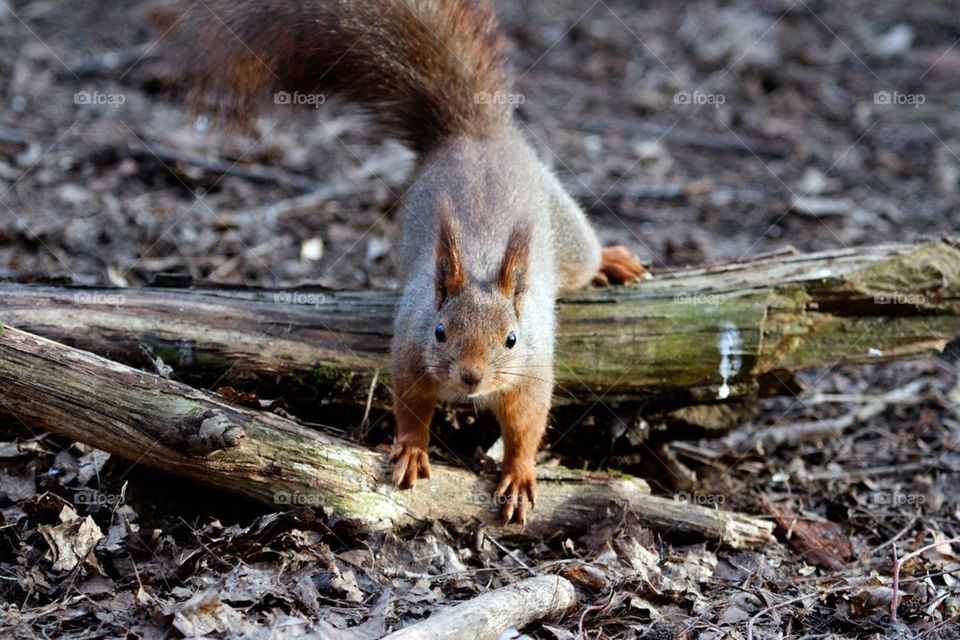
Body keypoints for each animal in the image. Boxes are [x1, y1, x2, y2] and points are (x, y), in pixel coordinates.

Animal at [173, 0, 647, 525]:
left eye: (511, 339)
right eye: (439, 332)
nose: (470, 376)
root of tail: (477, 136)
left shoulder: (532, 372)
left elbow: (526, 425)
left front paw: (520, 476)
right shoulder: (410, 353)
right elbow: (411, 406)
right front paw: (413, 451)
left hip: (567, 232)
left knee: (585, 257)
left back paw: (615, 261)